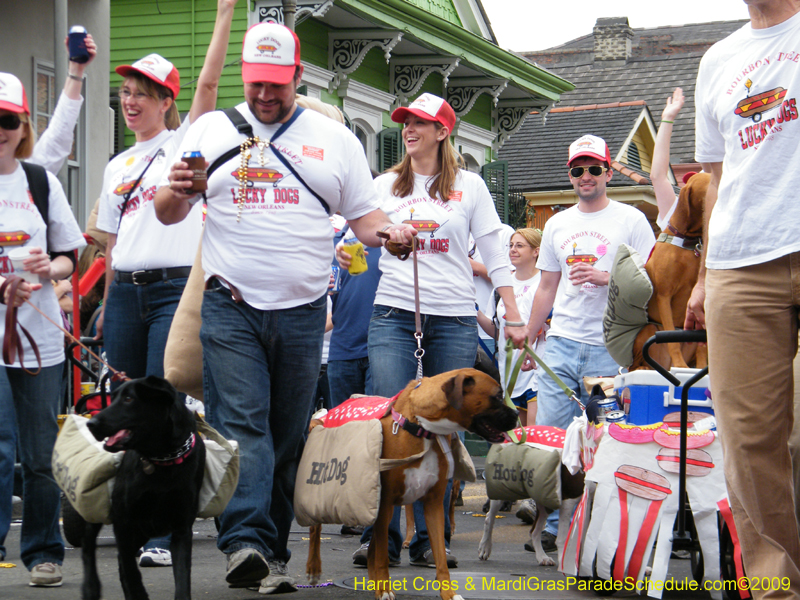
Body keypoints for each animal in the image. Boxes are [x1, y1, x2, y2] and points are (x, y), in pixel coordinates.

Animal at [81, 376, 205, 600]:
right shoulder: (122, 521)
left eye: (129, 399)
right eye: (114, 398)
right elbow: (130, 569)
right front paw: (138, 592)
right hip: (97, 509)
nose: (91, 423)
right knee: (89, 544)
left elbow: (183, 578)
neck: (162, 459)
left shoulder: (182, 528)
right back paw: (91, 588)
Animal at [306, 366, 520, 600]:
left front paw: (449, 593)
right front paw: (385, 590)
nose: (518, 415)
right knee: (316, 529)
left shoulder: (433, 505)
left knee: (371, 549)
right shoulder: (385, 504)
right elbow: (382, 555)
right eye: (497, 396)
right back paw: (314, 570)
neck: (423, 427)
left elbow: (440, 557)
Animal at [636, 173, 708, 368]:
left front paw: (701, 367)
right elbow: (672, 340)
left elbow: (703, 347)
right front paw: (680, 365)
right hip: (650, 329)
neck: (688, 243)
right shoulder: (664, 295)